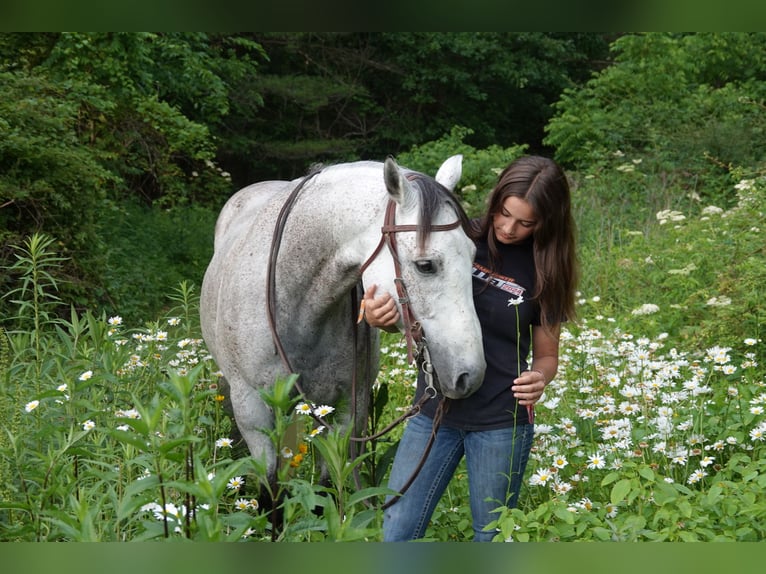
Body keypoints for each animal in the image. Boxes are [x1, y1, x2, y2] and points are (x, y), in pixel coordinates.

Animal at [199, 155, 486, 486]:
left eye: (473, 254)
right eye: (426, 265)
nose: (471, 375)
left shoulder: (349, 408)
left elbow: (329, 485)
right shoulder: (253, 409)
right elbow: (270, 487)